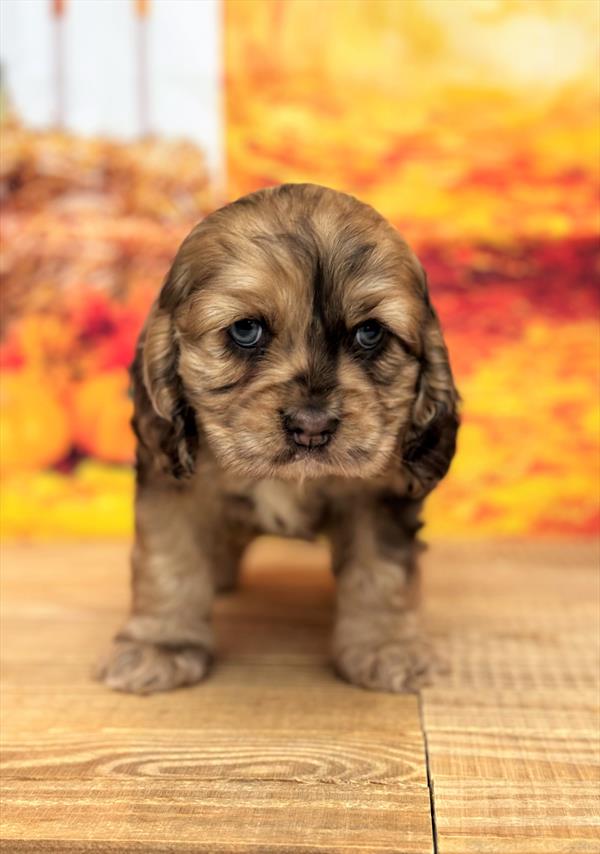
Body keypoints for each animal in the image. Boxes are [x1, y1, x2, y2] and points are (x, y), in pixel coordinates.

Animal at [98, 186, 460, 696]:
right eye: (245, 330)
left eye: (370, 333)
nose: (312, 425)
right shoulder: (174, 489)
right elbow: (169, 563)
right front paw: (160, 646)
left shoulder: (379, 497)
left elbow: (381, 572)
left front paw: (387, 648)